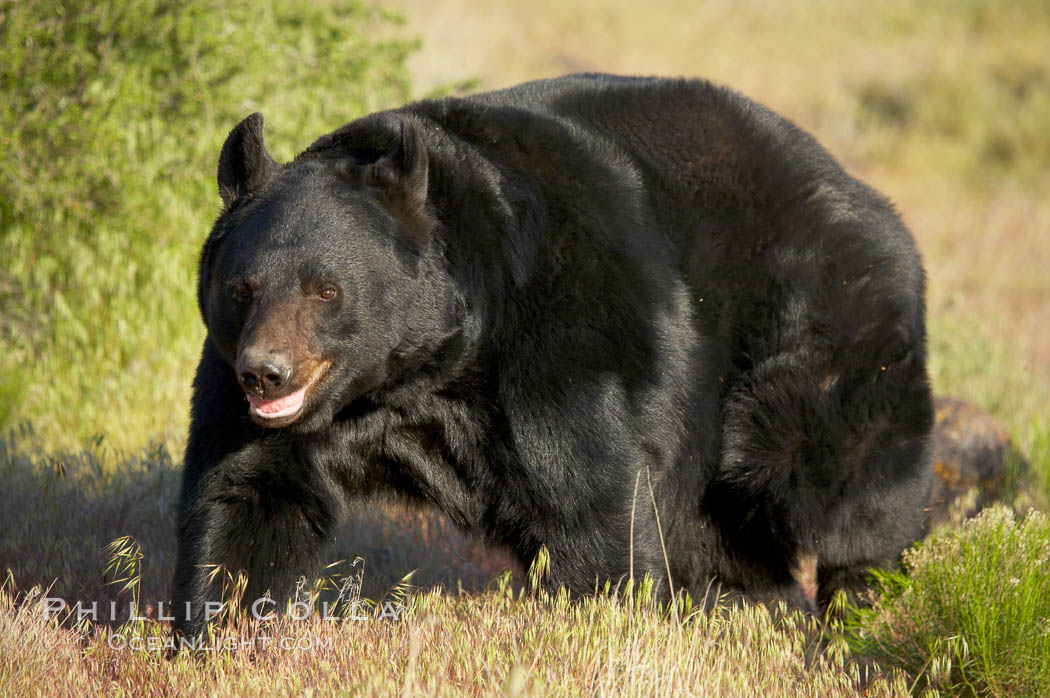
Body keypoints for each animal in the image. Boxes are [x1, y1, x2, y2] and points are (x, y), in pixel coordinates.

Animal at [172, 75, 936, 642]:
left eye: (325, 288)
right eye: (241, 287)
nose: (266, 371)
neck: (417, 375)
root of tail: (876, 205)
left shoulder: (564, 342)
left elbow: (591, 502)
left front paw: (599, 629)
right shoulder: (262, 399)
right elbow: (248, 495)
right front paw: (219, 635)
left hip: (815, 337)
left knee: (843, 484)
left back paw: (864, 610)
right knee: (720, 538)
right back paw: (754, 616)